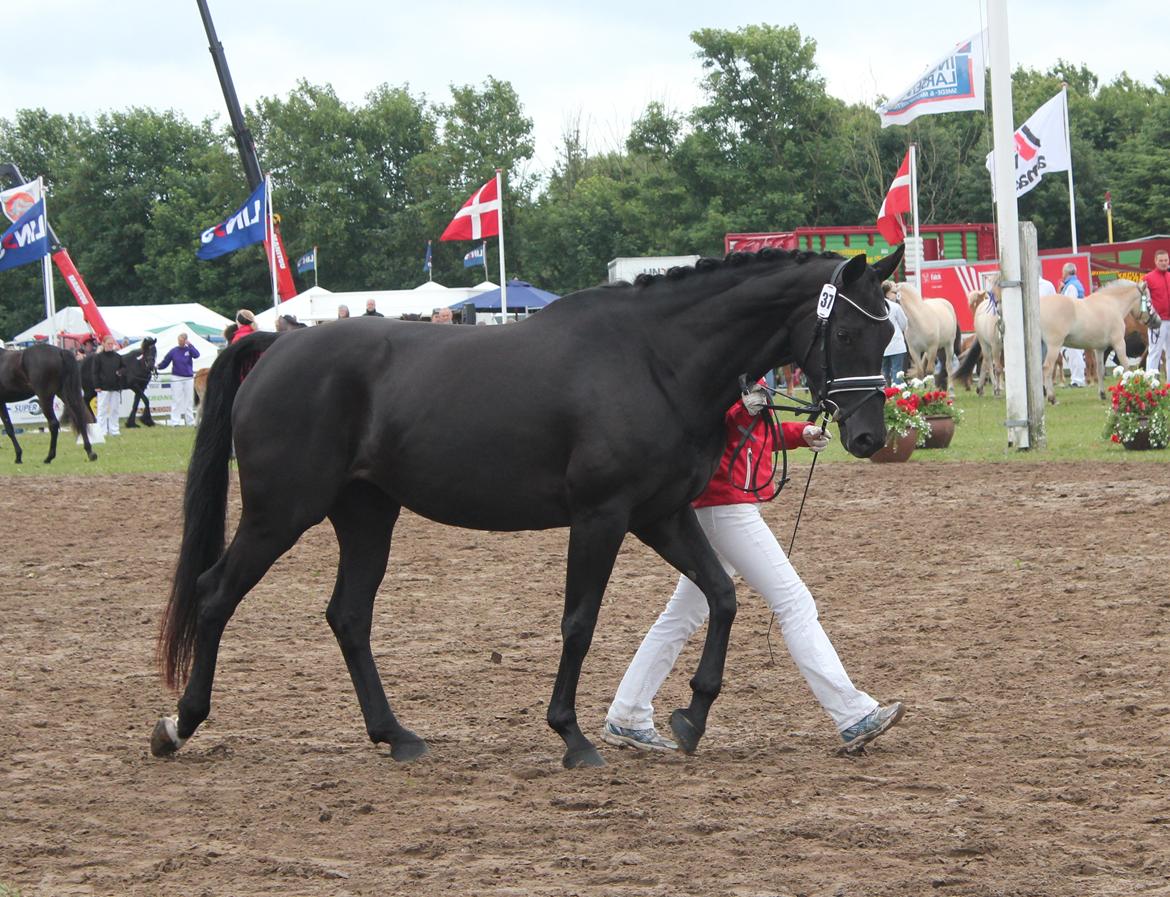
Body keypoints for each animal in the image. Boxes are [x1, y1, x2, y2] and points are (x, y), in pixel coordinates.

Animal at [153, 247, 903, 771]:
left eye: (888, 334)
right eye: (847, 335)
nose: (869, 437)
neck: (654, 358)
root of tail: (277, 343)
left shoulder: (659, 514)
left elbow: (721, 595)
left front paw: (690, 717)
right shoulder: (602, 516)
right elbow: (579, 622)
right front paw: (572, 735)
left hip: (367, 516)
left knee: (348, 616)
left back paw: (395, 735)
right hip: (280, 512)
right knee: (215, 594)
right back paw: (179, 724)